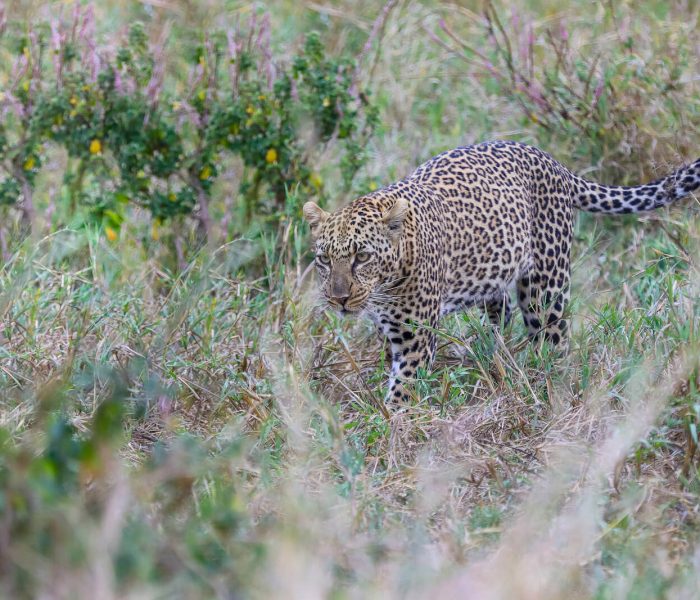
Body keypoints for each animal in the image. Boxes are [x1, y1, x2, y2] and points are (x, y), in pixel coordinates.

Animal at [304, 141, 696, 404]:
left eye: (362, 257)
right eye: (324, 259)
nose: (339, 299)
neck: (385, 287)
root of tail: (554, 163)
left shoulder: (417, 337)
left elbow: (404, 389)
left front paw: (393, 430)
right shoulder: (391, 330)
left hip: (545, 289)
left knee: (554, 340)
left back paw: (550, 387)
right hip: (493, 280)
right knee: (503, 314)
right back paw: (491, 358)